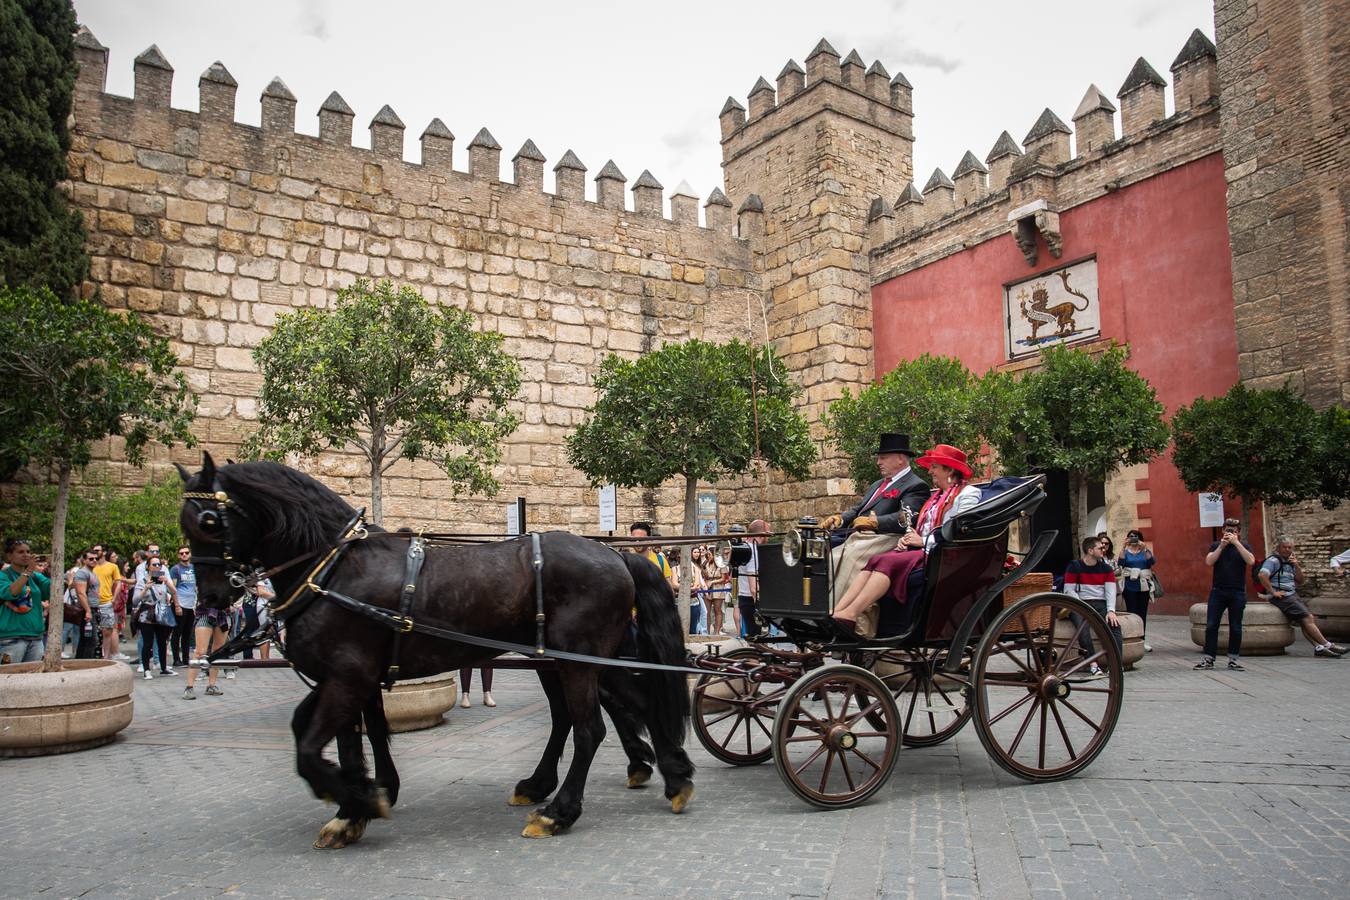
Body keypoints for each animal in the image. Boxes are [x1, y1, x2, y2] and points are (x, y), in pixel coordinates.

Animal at [176, 453, 696, 847]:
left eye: (208, 521)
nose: (212, 599)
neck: (334, 568)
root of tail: (615, 553)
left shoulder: (346, 677)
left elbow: (310, 746)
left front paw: (360, 800)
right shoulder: (347, 678)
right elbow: (351, 736)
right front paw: (363, 796)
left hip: (576, 661)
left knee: (589, 728)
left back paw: (560, 811)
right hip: (567, 661)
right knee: (621, 708)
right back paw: (668, 774)